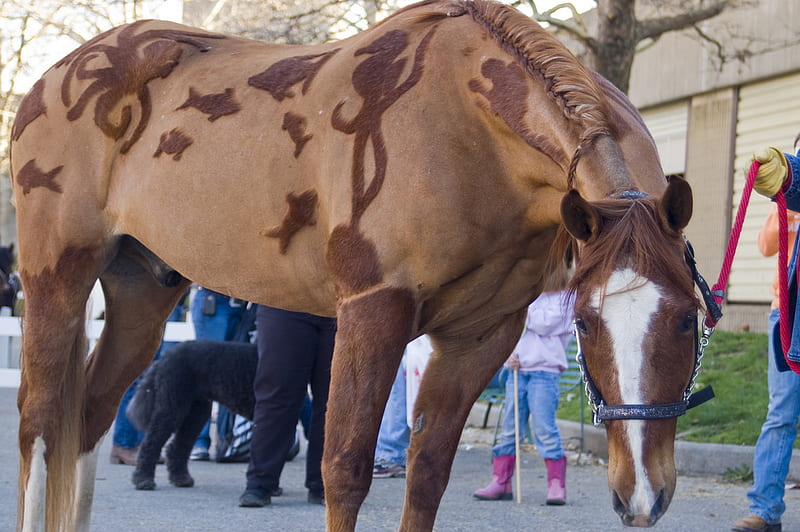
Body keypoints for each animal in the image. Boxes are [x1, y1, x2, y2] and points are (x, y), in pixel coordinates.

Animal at [10, 2, 700, 528]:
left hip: (141, 293)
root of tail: (53, 78)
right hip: (55, 276)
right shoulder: (374, 310)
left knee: (90, 417)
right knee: (39, 425)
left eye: (690, 319)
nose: (641, 496)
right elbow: (342, 469)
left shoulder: (481, 336)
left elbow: (427, 474)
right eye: (584, 323)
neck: (469, 130)